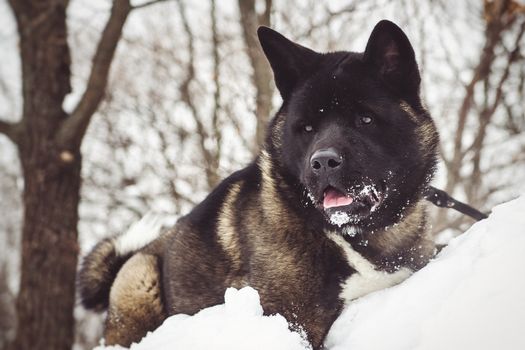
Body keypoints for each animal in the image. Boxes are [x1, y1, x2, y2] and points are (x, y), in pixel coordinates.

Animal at [78, 20, 438, 348]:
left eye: (365, 119)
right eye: (306, 128)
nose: (322, 162)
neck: (357, 236)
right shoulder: (288, 318)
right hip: (140, 284)